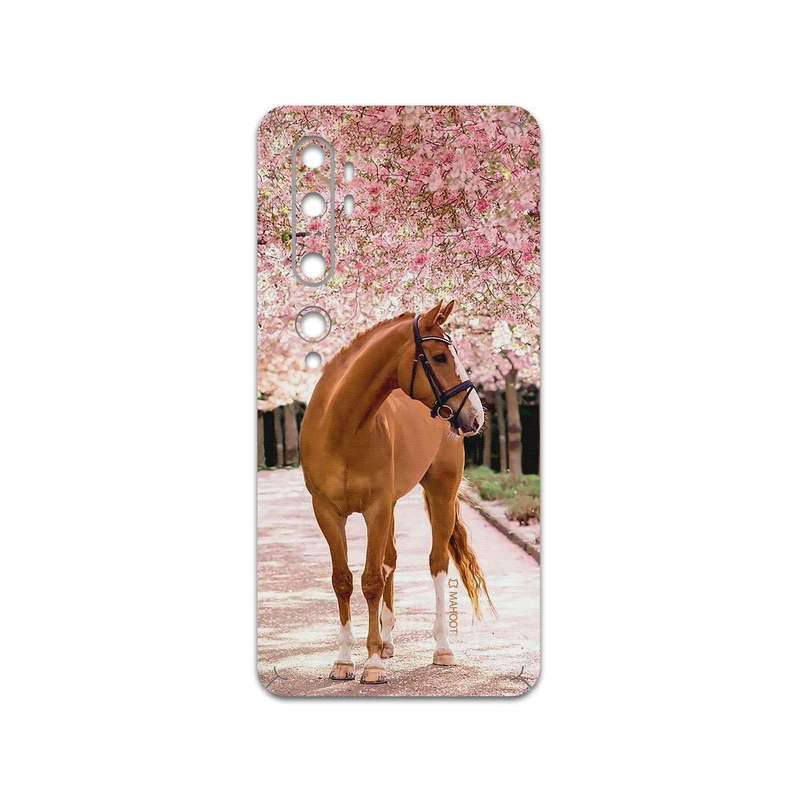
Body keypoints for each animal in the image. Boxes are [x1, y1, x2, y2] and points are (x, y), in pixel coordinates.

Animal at [299, 300, 493, 684]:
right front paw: (344, 660)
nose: (476, 416)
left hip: (440, 493)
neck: (341, 427)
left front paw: (371, 664)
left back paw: (442, 648)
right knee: (390, 560)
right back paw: (388, 642)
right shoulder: (327, 512)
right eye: (439, 357)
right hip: (390, 506)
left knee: (436, 563)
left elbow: (371, 580)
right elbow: (343, 580)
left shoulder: (375, 508)